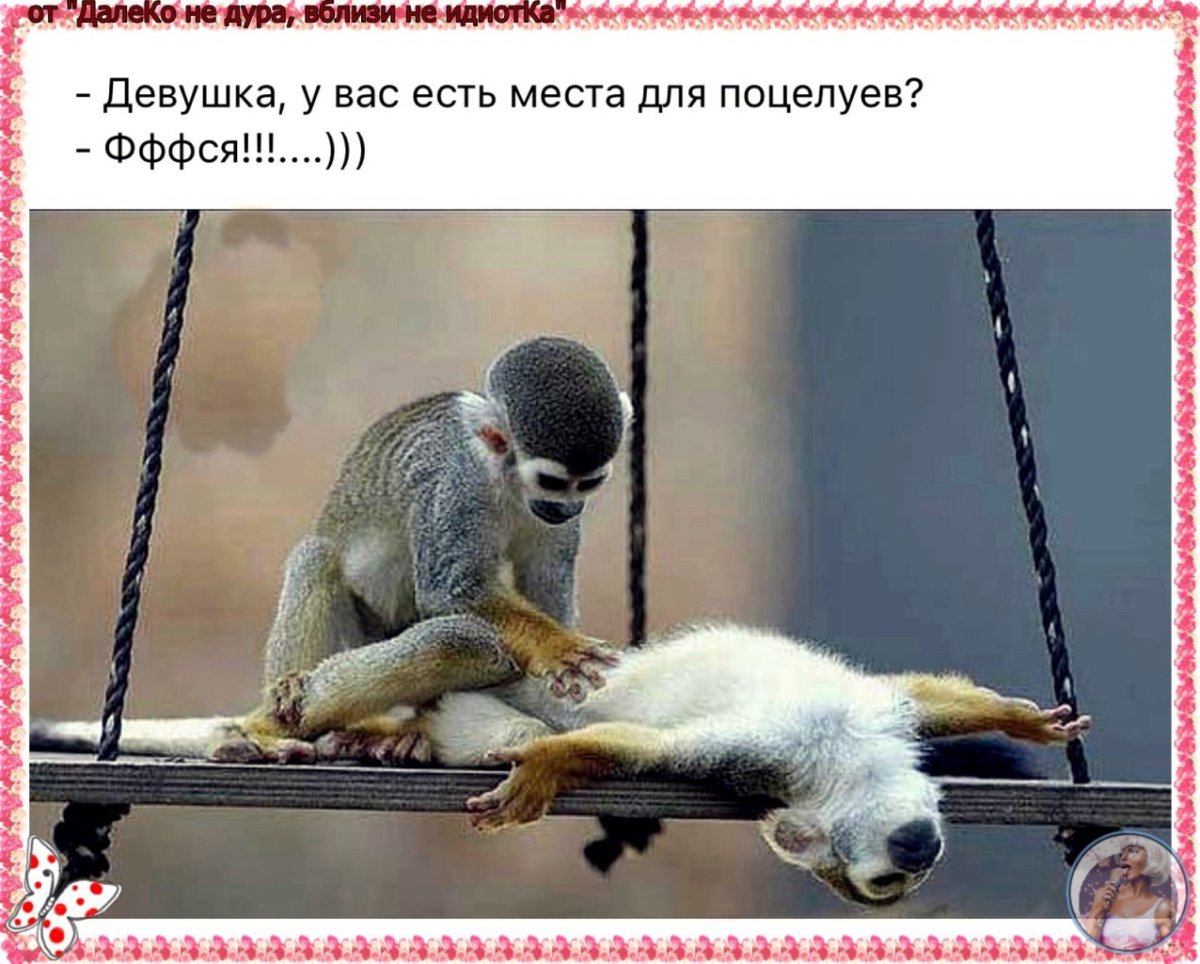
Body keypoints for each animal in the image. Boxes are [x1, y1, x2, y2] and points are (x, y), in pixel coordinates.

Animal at [32, 336, 631, 763]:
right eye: (552, 481)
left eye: (588, 483)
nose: (563, 509)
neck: (506, 481)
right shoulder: (456, 490)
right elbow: (451, 590)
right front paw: (557, 646)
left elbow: (546, 591)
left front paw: (557, 649)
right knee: (320, 559)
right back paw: (279, 719)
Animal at [366, 622, 1093, 907]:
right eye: (887, 882)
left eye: (906, 880)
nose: (922, 855)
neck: (848, 763)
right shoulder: (762, 751)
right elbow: (660, 751)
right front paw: (552, 759)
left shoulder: (872, 718)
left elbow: (913, 699)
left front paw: (1018, 719)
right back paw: (411, 731)